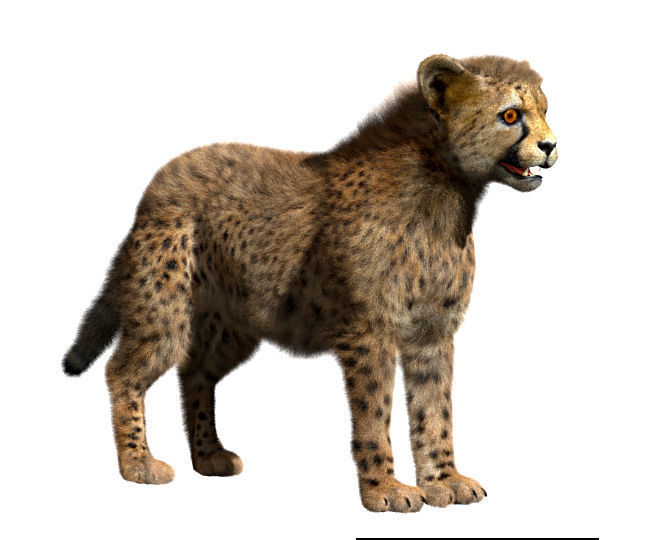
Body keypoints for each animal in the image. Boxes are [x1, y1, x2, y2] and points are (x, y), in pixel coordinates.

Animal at [62, 54, 557, 512]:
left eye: (545, 109)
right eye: (510, 115)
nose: (551, 145)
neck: (445, 190)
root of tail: (158, 184)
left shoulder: (432, 333)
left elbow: (435, 412)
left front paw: (444, 481)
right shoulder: (369, 333)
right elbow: (375, 415)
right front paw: (386, 490)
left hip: (232, 326)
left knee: (195, 372)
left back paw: (208, 456)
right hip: (165, 312)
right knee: (123, 371)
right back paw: (138, 464)